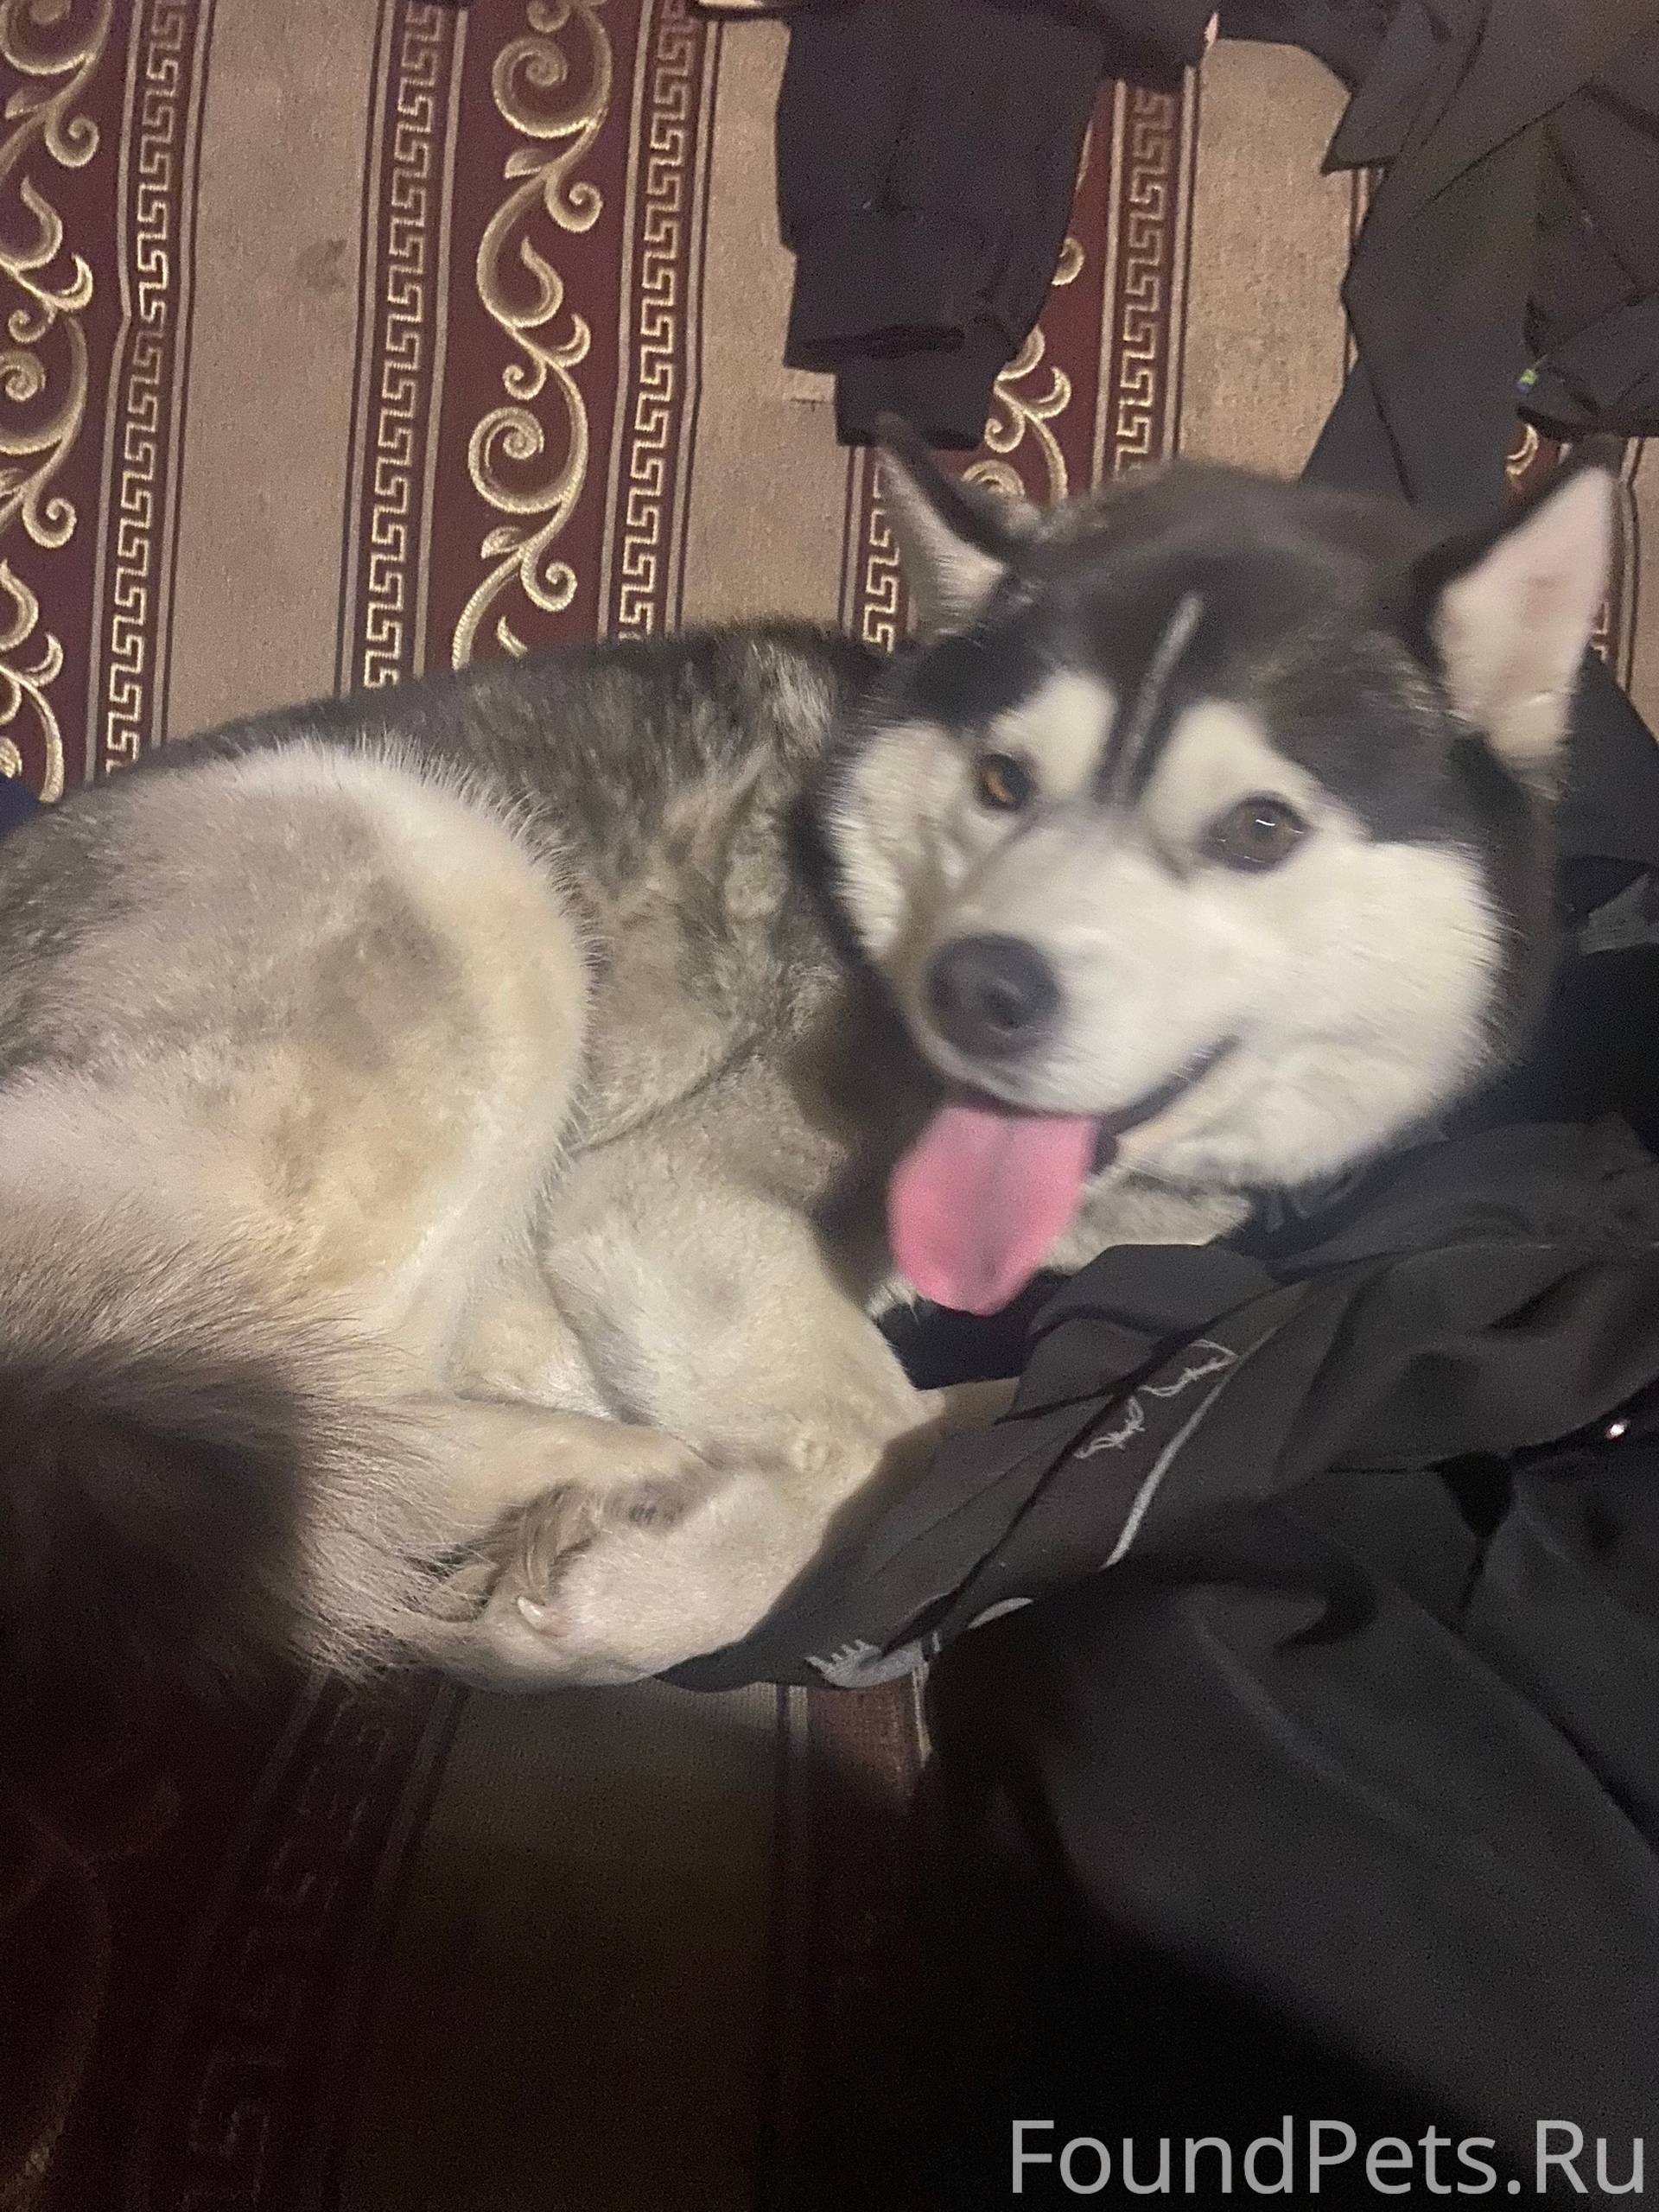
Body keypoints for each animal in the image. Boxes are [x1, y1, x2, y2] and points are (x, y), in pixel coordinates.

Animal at [0, 432, 1613, 1703]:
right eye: (1005, 781)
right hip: (459, 880)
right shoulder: (650, 1192)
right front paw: (646, 1596)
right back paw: (593, 1473)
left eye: (1259, 829)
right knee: (307, 1429)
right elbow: (864, 1434)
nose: (981, 992)